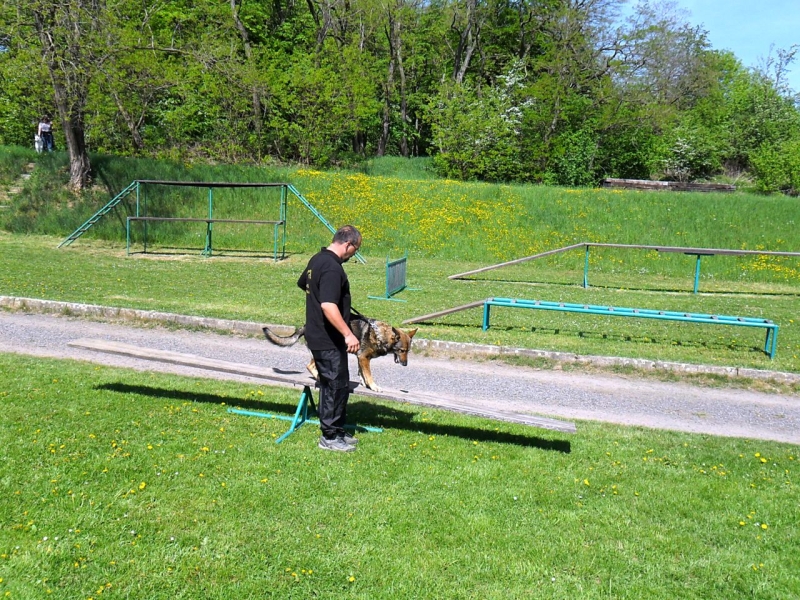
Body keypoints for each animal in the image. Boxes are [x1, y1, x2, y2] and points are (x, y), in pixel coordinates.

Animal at [266, 314, 418, 394]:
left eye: (408, 351)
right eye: (402, 351)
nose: (405, 364)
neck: (380, 335)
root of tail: (305, 326)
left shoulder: (360, 357)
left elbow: (362, 373)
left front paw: (364, 383)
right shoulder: (364, 358)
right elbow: (369, 375)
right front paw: (374, 386)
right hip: (321, 354)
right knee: (309, 366)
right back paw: (319, 378)